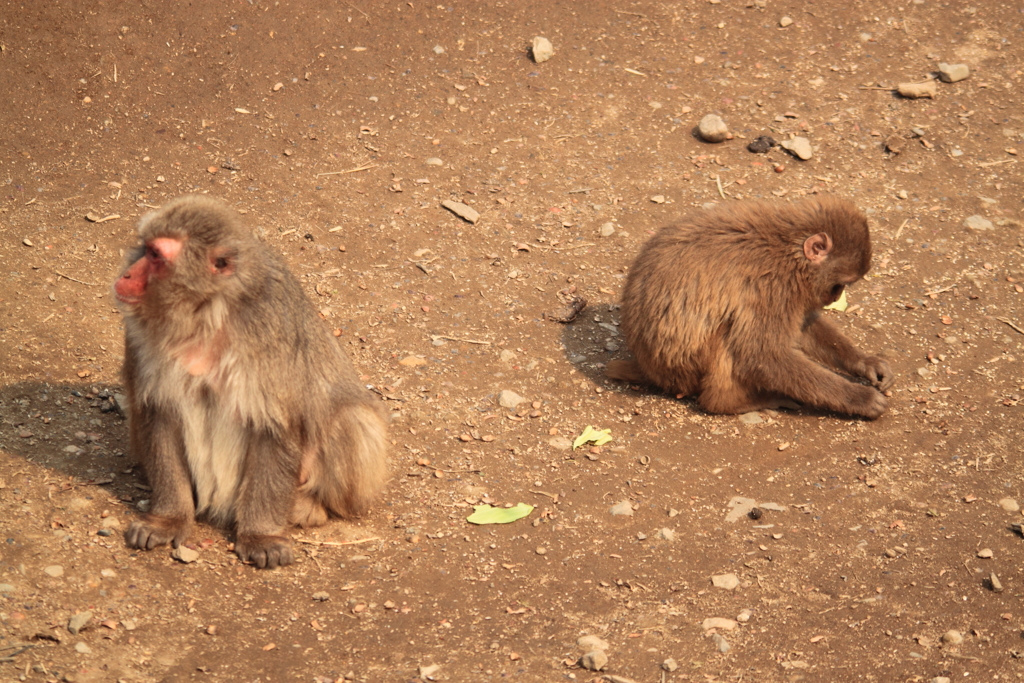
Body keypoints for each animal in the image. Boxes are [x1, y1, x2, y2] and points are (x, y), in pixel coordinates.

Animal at [115, 194, 387, 569]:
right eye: (145, 247)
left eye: (156, 256)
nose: (126, 273)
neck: (205, 315)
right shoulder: (141, 338)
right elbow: (159, 412)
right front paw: (168, 518)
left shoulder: (269, 332)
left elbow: (276, 428)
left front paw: (261, 535)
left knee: (353, 420)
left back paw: (309, 506)